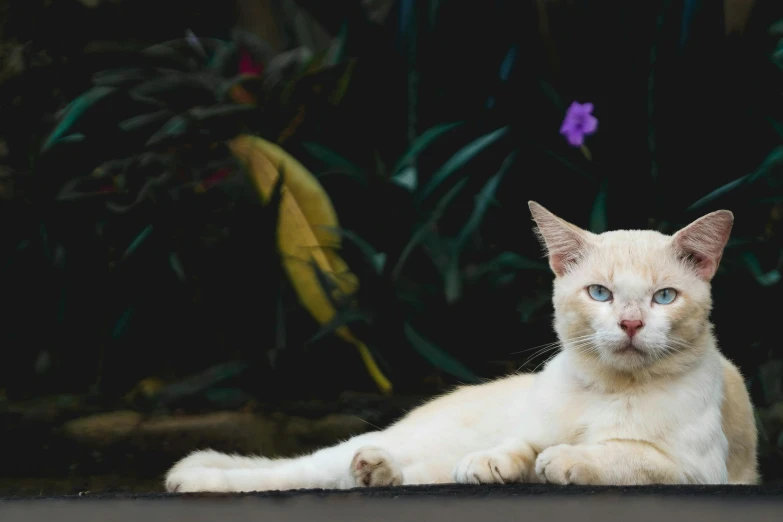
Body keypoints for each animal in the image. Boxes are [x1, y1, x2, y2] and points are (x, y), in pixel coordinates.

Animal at [164, 201, 760, 490]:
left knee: (379, 476)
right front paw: (495, 463)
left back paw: (376, 472)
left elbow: (622, 455)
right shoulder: (528, 430)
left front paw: (565, 459)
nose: (633, 323)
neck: (606, 389)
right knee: (304, 472)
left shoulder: (697, 470)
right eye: (600, 293)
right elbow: (521, 445)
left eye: (663, 297)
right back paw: (192, 479)